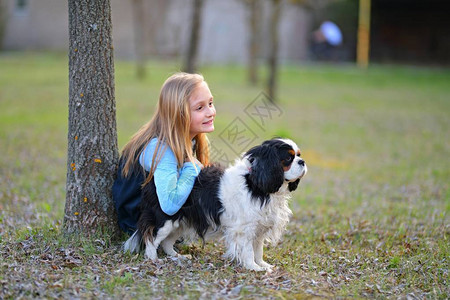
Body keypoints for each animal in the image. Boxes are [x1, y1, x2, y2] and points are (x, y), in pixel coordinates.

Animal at [123, 138, 306, 272]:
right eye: (288, 158)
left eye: (298, 155)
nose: (302, 162)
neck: (256, 184)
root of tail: (151, 179)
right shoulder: (244, 229)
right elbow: (248, 251)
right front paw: (253, 267)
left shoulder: (258, 229)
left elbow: (258, 250)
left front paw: (262, 264)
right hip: (165, 221)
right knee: (151, 238)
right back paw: (152, 259)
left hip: (180, 223)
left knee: (167, 242)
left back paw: (177, 257)